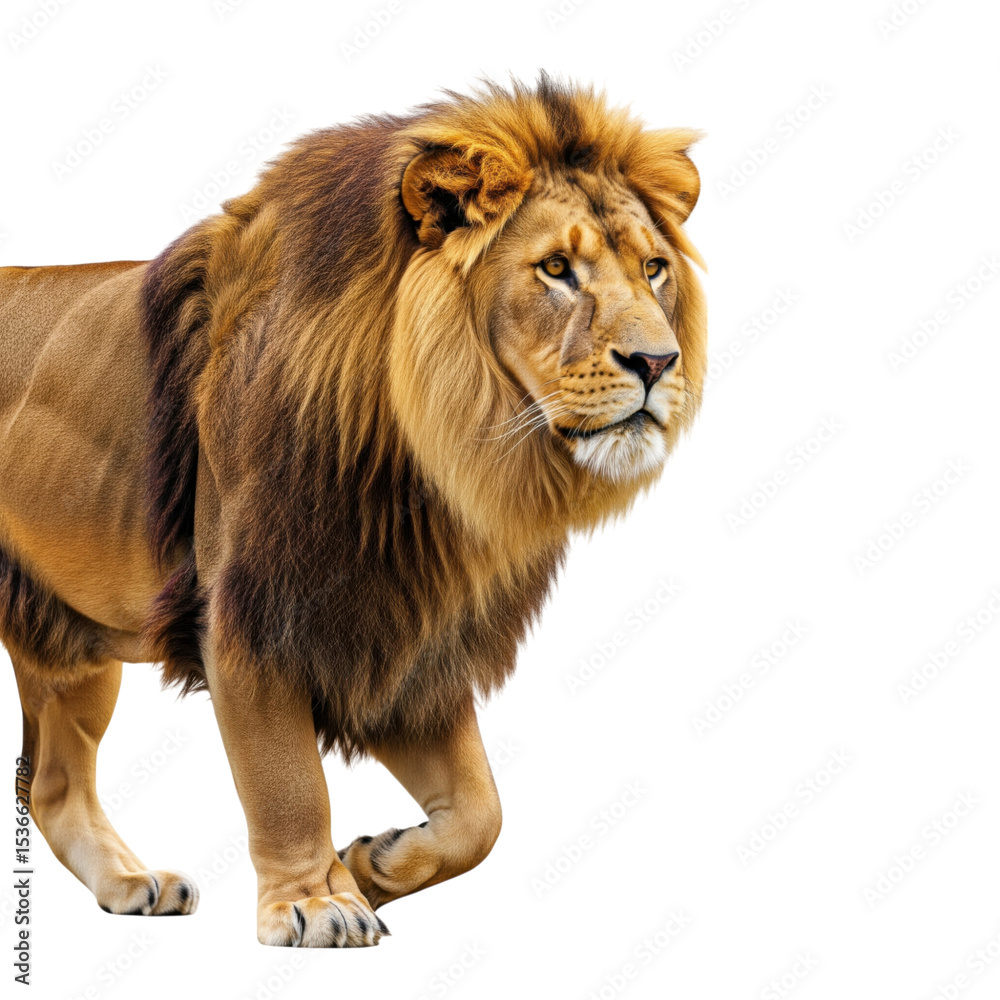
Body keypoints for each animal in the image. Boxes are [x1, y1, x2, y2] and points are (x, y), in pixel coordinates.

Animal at [0, 75, 705, 947]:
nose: (658, 361)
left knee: (52, 784)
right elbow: (287, 782)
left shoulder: (405, 635)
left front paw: (372, 865)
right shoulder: (250, 615)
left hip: (71, 642)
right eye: (556, 269)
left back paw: (133, 883)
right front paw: (313, 902)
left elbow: (483, 813)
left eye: (654, 269)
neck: (433, 462)